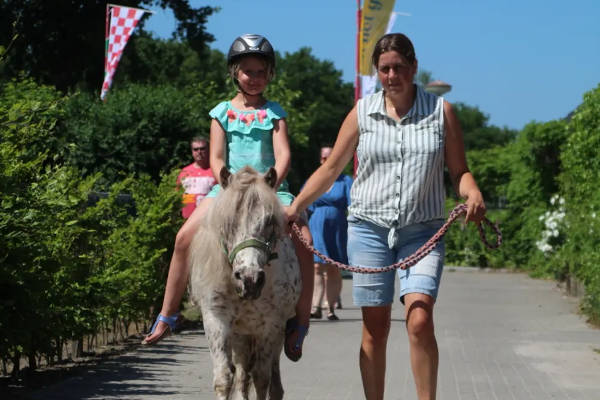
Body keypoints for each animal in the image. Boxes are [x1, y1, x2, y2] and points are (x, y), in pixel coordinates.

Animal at [191, 166, 302, 400]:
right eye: (227, 222)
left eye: (269, 222)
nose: (249, 279)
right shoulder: (216, 319)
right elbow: (224, 378)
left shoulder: (270, 325)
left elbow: (262, 378)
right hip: (240, 334)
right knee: (242, 375)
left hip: (274, 333)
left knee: (273, 381)